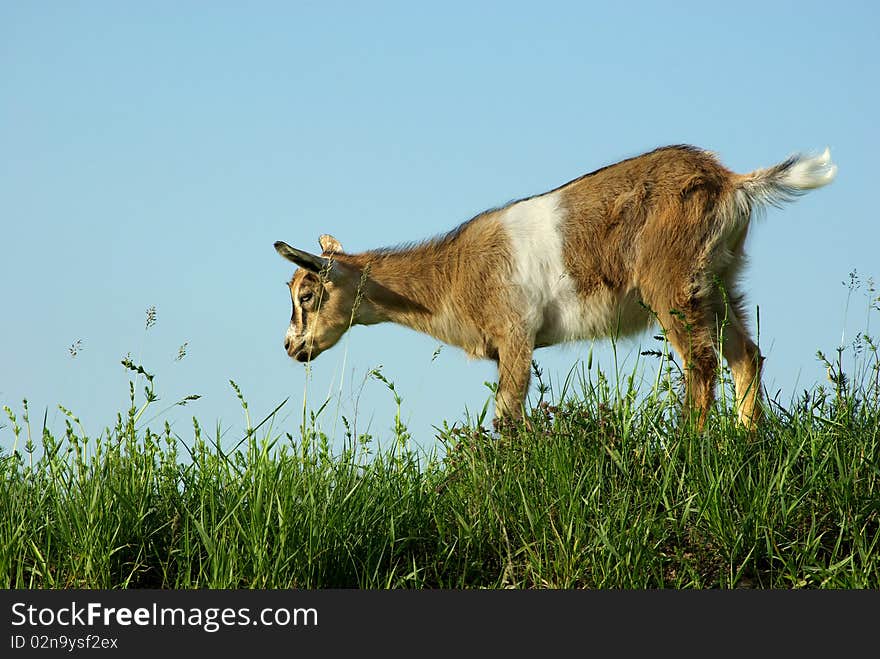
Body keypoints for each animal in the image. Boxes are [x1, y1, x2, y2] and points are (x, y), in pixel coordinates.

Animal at [276, 145, 840, 430]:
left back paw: (690, 454)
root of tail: (731, 182)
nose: (291, 347)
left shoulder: (515, 335)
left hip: (672, 284)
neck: (453, 272)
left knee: (700, 364)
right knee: (745, 356)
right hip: (718, 282)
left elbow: (506, 416)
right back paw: (744, 445)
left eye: (306, 295)